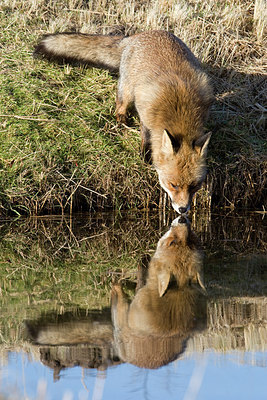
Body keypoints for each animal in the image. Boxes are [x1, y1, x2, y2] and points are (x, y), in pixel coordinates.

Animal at [34, 30, 214, 212]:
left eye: (194, 186)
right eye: (173, 184)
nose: (183, 209)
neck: (180, 108)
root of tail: (140, 34)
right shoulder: (145, 113)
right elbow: (146, 137)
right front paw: (145, 156)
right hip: (127, 89)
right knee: (120, 103)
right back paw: (121, 119)